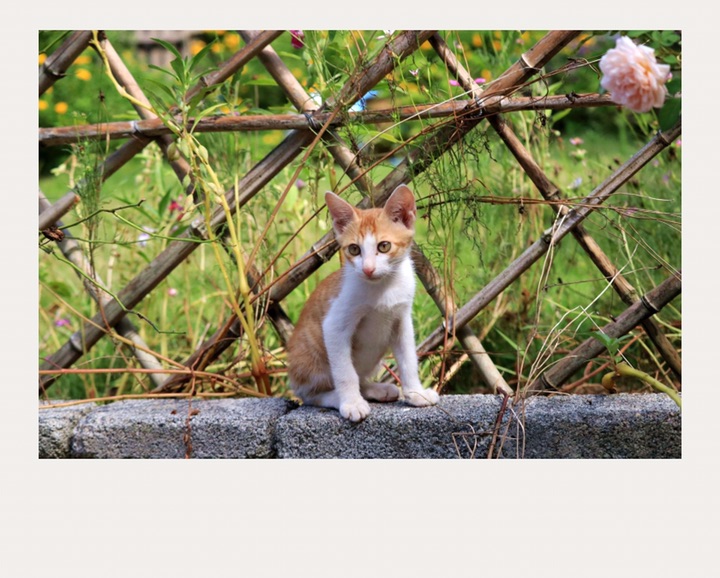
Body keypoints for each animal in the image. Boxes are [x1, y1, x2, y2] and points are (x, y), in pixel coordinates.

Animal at [287, 183, 440, 422]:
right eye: (354, 249)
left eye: (384, 246)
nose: (368, 269)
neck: (383, 288)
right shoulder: (334, 326)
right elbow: (345, 372)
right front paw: (351, 403)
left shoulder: (402, 320)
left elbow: (408, 360)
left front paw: (416, 393)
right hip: (309, 362)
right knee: (312, 395)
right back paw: (338, 397)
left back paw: (376, 389)